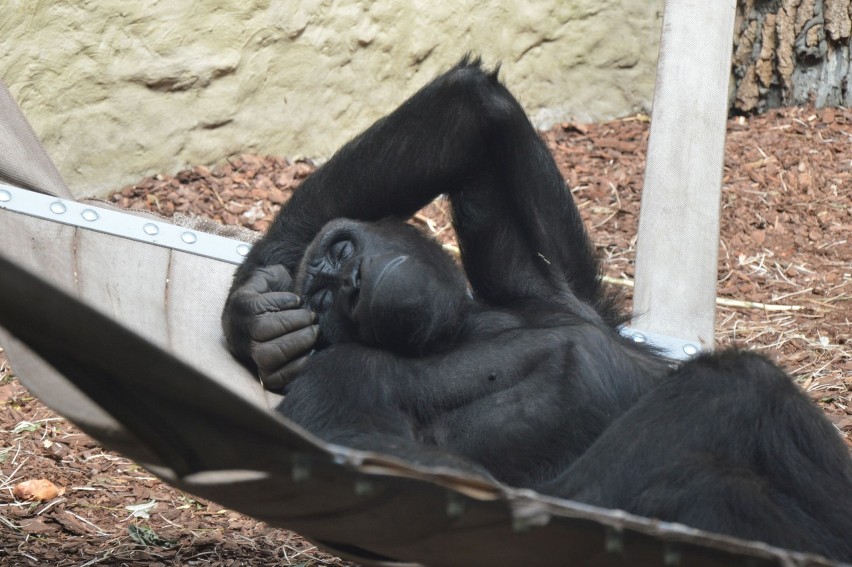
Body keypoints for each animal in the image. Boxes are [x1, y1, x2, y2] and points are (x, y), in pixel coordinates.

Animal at [221, 58, 852, 564]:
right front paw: (256, 322)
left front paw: (252, 313)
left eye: (344, 253)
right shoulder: (338, 380)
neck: (458, 330)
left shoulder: (546, 292)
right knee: (723, 418)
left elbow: (469, 115)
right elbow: (407, 468)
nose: (350, 283)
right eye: (326, 300)